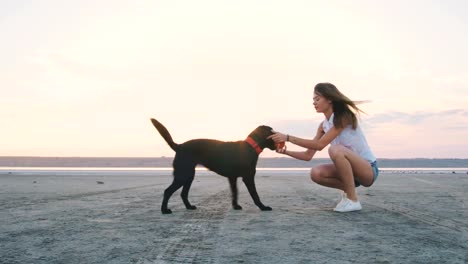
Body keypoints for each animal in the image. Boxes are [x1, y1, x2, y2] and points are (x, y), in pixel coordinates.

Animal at [149, 118, 278, 213]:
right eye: (272, 133)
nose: (277, 144)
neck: (250, 147)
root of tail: (179, 146)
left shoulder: (232, 178)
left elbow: (234, 192)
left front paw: (235, 206)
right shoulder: (248, 177)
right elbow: (255, 195)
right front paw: (263, 207)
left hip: (189, 175)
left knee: (183, 193)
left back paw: (189, 207)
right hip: (183, 175)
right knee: (167, 191)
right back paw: (164, 210)